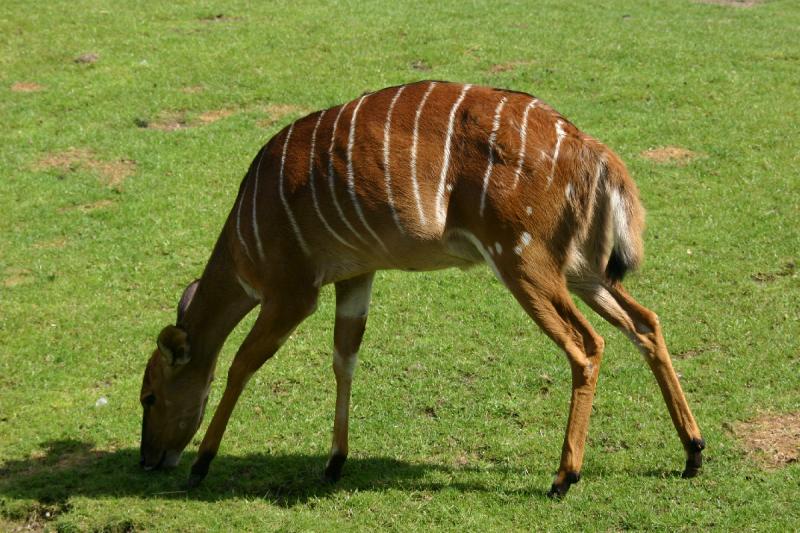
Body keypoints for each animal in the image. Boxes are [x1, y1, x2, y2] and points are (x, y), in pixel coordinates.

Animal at [141, 81, 704, 496]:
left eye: (148, 396)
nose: (149, 460)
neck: (247, 236)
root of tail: (594, 151)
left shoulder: (293, 290)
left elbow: (241, 364)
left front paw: (201, 464)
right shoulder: (356, 276)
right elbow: (344, 359)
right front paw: (334, 462)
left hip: (523, 260)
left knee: (587, 345)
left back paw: (564, 478)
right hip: (583, 269)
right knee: (645, 323)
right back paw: (693, 453)